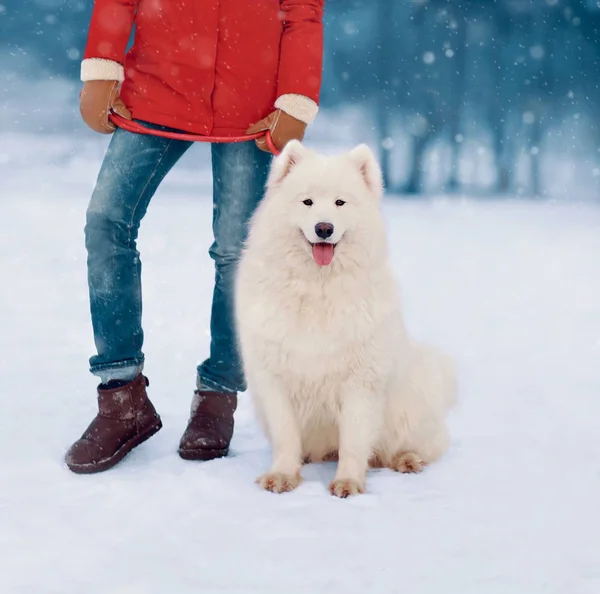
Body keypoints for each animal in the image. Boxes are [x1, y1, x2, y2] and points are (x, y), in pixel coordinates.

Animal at [233, 140, 454, 494]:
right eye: (307, 201)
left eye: (340, 202)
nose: (324, 228)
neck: (316, 288)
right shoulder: (275, 381)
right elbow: (286, 437)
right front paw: (282, 475)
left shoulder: (360, 381)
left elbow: (353, 441)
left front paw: (348, 483)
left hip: (408, 413)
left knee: (422, 446)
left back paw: (407, 460)